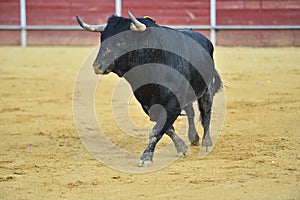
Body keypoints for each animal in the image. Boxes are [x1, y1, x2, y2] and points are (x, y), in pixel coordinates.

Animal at [76, 12, 221, 167]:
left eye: (122, 41)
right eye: (102, 39)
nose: (98, 66)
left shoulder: (173, 102)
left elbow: (157, 130)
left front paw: (146, 157)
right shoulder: (147, 104)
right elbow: (167, 128)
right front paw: (182, 148)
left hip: (207, 89)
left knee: (206, 112)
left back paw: (206, 143)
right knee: (191, 112)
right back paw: (194, 138)